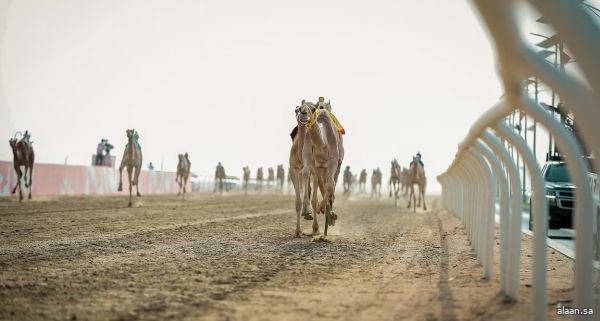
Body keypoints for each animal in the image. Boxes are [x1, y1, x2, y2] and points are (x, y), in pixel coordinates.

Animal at [292, 100, 344, 238]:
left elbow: (330, 185)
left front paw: (322, 208)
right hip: (319, 168)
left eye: (313, 109)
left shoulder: (332, 161)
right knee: (320, 183)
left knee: (331, 184)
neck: (322, 143)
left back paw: (329, 215)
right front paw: (307, 210)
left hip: (335, 166)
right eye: (298, 109)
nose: (303, 114)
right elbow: (305, 173)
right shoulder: (309, 158)